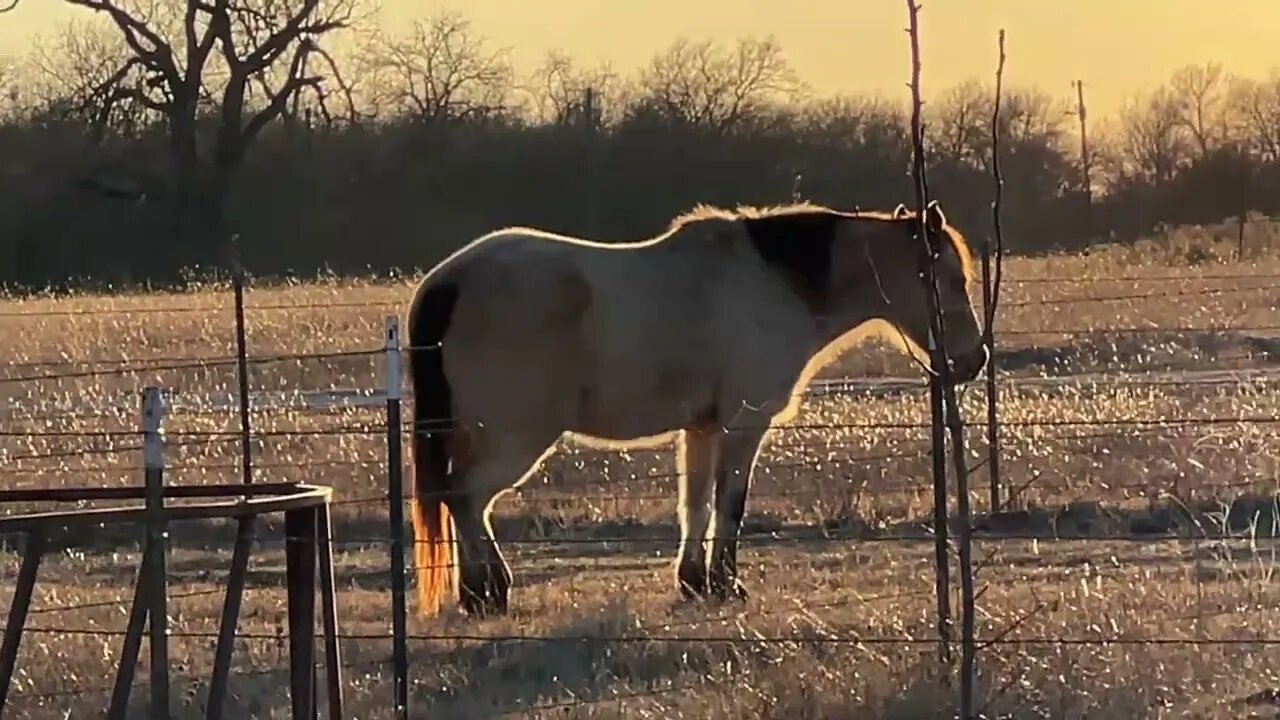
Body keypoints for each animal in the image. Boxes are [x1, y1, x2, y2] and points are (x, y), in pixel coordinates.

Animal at [404, 198, 983, 614]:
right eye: (949, 281)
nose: (973, 360)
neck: (775, 285)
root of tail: (448, 282)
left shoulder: (702, 429)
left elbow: (696, 503)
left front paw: (695, 583)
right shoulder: (744, 424)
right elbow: (730, 503)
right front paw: (726, 584)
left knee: (459, 499)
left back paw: (476, 592)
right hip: (515, 439)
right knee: (466, 496)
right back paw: (489, 591)